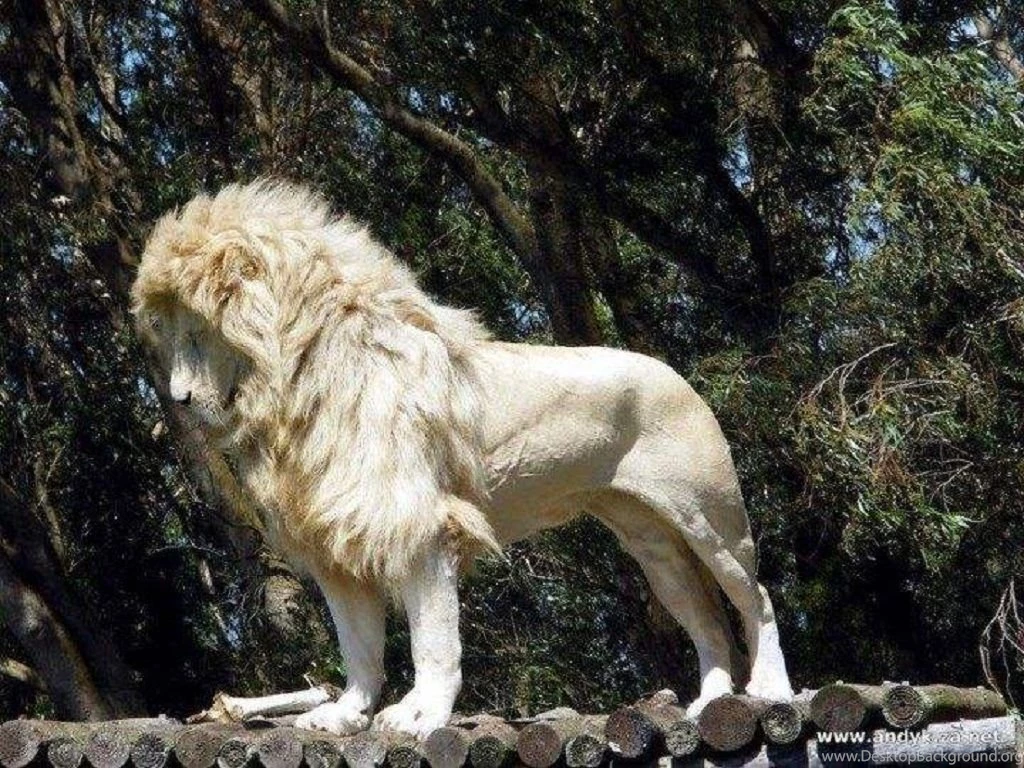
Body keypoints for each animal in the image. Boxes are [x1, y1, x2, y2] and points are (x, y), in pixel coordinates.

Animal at [131, 179, 793, 738]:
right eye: (167, 333)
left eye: (195, 332)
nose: (179, 400)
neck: (295, 391)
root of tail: (677, 375)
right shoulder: (337, 537)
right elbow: (359, 645)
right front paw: (346, 716)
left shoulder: (420, 524)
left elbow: (433, 640)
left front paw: (421, 716)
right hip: (650, 541)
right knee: (705, 617)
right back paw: (710, 702)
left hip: (710, 520)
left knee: (754, 599)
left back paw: (771, 692)